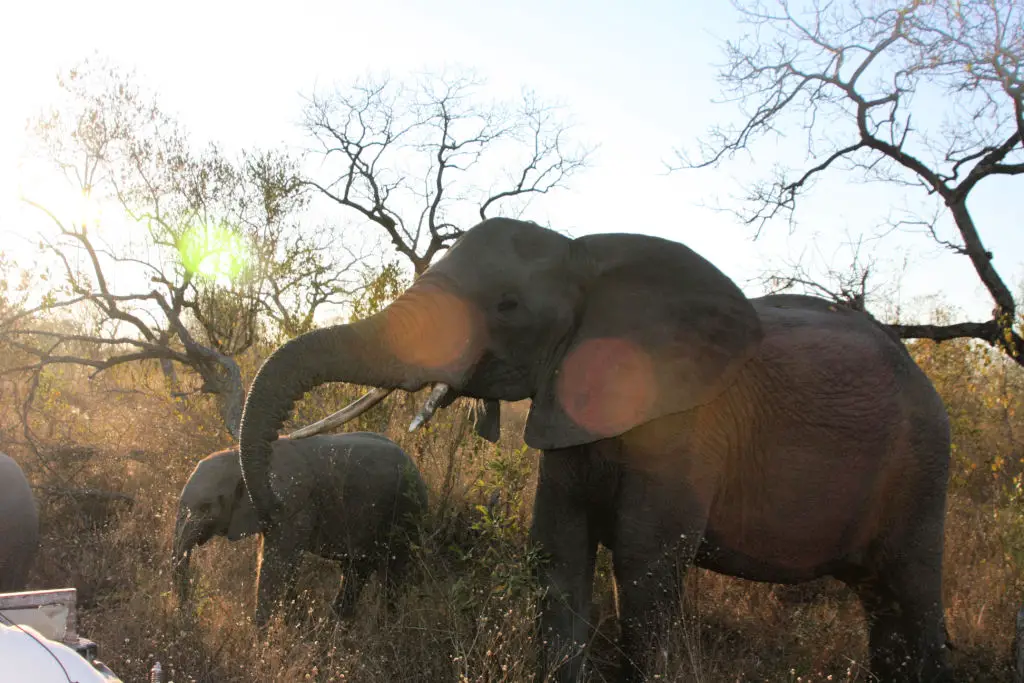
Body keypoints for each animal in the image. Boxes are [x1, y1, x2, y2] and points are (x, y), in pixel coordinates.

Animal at [172, 433, 427, 627]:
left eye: (206, 507)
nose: (190, 616)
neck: (239, 459)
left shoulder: (294, 506)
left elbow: (277, 567)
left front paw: (262, 643)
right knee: (357, 570)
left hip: (405, 512)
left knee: (393, 575)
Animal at [236, 217, 952, 682]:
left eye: (508, 305)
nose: (269, 500)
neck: (588, 258)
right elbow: (558, 549)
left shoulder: (684, 430)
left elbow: (643, 563)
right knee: (886, 608)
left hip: (921, 464)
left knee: (913, 597)